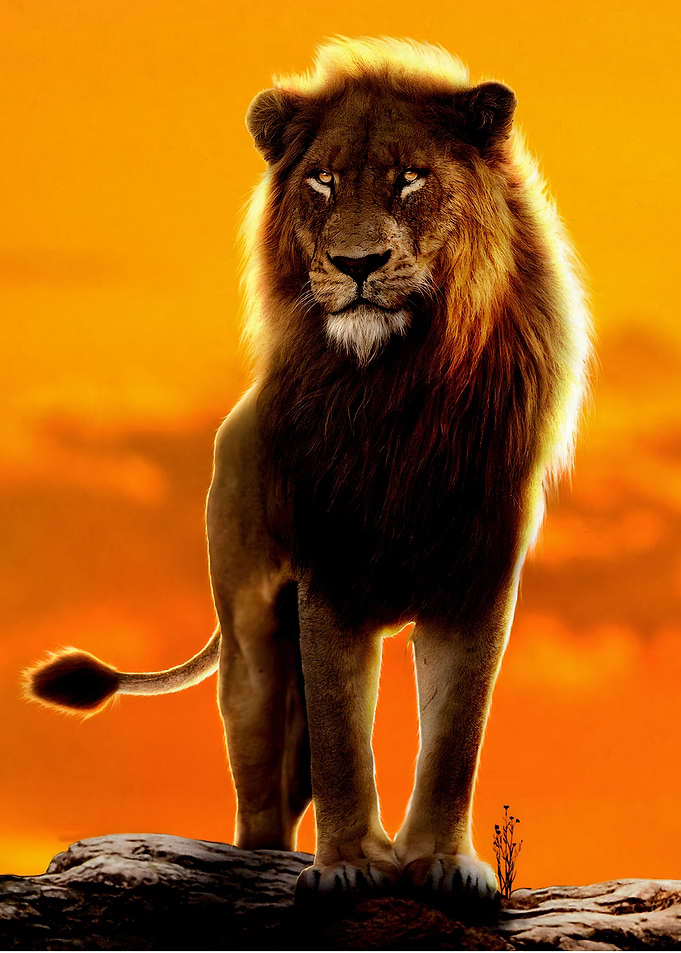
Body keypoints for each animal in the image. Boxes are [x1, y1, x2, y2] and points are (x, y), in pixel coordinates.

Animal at [25, 37, 591, 907]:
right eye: (322, 180)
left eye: (409, 177)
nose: (356, 263)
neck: (399, 388)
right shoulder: (330, 573)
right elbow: (340, 737)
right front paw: (349, 864)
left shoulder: (477, 574)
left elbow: (455, 734)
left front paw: (441, 862)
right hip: (254, 648)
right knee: (263, 786)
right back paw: (260, 862)